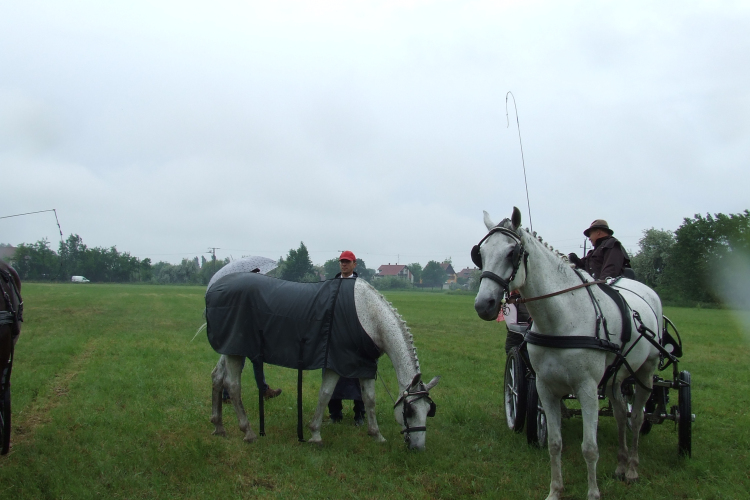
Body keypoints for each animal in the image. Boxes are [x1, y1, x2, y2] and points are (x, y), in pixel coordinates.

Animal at [206, 272, 440, 452]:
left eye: (429, 410)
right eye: (409, 411)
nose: (418, 448)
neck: (369, 316)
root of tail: (215, 287)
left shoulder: (364, 366)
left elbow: (369, 399)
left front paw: (376, 435)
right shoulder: (336, 363)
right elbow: (326, 394)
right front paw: (315, 434)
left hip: (231, 349)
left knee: (217, 377)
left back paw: (219, 427)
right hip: (236, 352)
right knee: (233, 386)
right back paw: (248, 432)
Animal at [476, 207, 664, 500]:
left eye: (511, 253)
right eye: (480, 253)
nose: (484, 304)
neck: (562, 319)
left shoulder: (587, 388)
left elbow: (590, 447)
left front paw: (593, 493)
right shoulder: (545, 387)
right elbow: (555, 443)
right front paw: (555, 490)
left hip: (645, 373)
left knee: (636, 417)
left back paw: (632, 468)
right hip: (616, 378)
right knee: (621, 415)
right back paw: (621, 465)